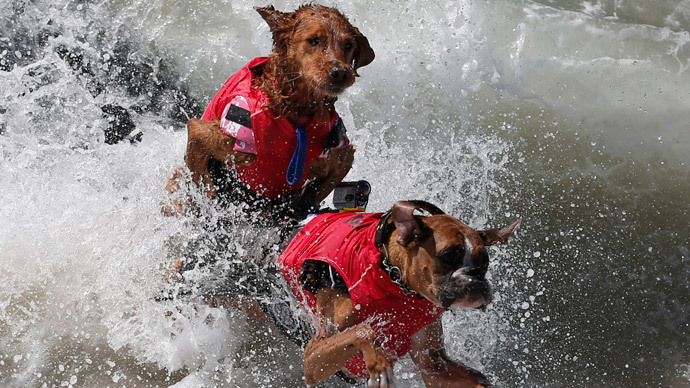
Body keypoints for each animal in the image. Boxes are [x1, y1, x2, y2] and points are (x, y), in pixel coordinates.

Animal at [162, 5, 374, 218]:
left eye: (348, 45)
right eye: (314, 40)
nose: (340, 73)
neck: (293, 110)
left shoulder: (341, 158)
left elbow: (312, 194)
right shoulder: (207, 135)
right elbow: (198, 178)